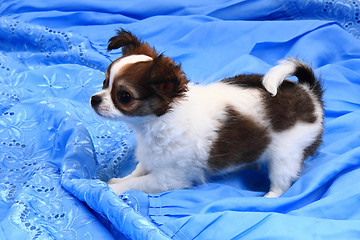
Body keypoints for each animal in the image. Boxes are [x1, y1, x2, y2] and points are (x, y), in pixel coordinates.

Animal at [90, 29, 324, 198]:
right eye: (104, 82)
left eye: (124, 96)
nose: (94, 99)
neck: (157, 122)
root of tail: (308, 92)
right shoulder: (153, 158)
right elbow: (138, 171)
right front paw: (118, 180)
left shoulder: (170, 178)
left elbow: (137, 182)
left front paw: (111, 189)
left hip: (287, 155)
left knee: (281, 181)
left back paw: (270, 197)